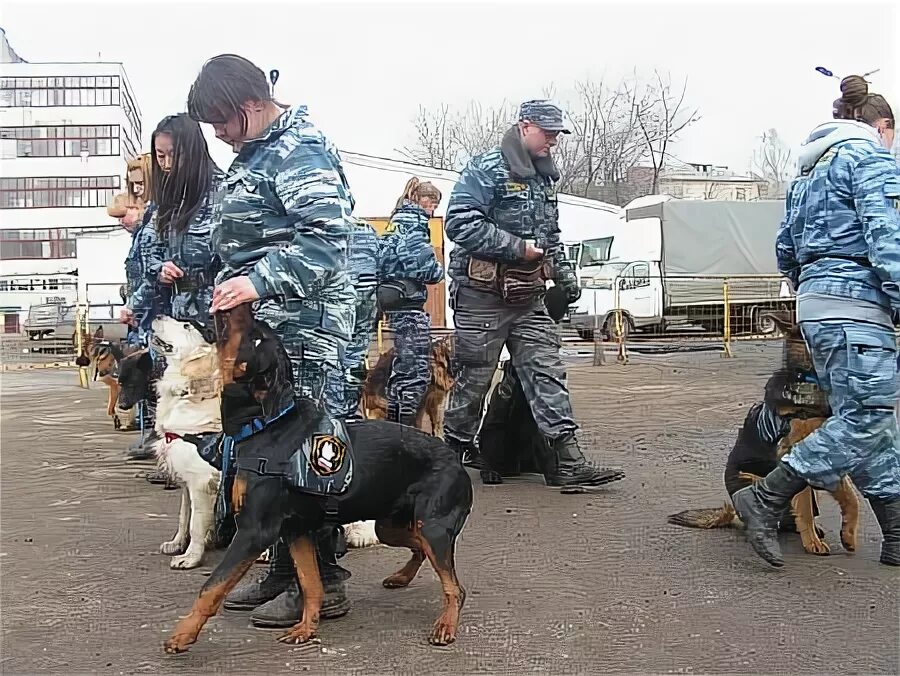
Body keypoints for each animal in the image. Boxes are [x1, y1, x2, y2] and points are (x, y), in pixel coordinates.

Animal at [164, 304, 474, 652]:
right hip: (392, 525)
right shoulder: (297, 530)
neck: (266, 424)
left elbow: (212, 586)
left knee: (454, 586)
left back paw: (445, 626)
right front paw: (305, 629)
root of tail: (454, 456)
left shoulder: (255, 531)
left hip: (432, 526)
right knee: (418, 548)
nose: (240, 303)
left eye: (255, 336)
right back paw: (401, 577)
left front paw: (183, 634)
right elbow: (311, 584)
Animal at [672, 314, 860, 556]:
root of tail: (733, 512)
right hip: (753, 480)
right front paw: (812, 543)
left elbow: (850, 499)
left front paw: (848, 535)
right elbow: (806, 508)